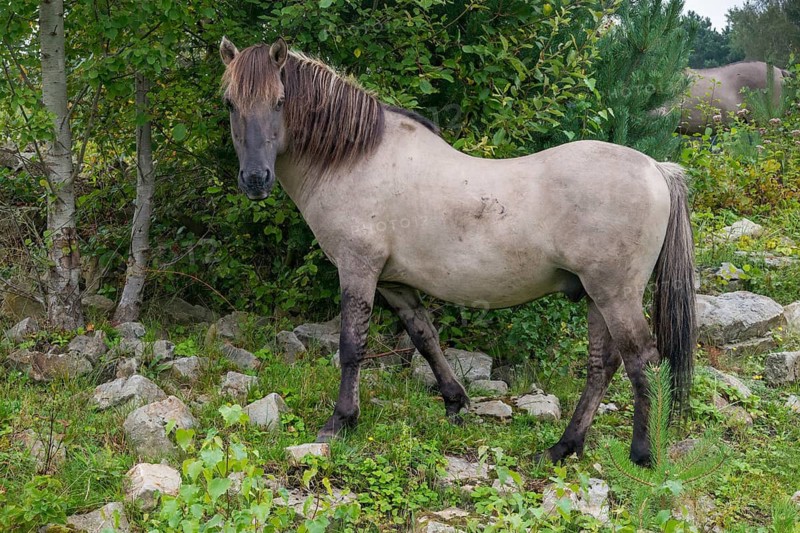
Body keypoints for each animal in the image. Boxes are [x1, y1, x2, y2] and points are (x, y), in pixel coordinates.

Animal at [219, 37, 696, 466]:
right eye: (229, 103)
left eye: (280, 101)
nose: (256, 180)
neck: (355, 161)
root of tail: (656, 168)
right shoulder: (393, 283)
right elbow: (425, 338)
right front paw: (455, 402)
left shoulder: (358, 271)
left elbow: (352, 346)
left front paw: (341, 421)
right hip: (597, 296)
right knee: (603, 365)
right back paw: (562, 448)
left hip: (615, 294)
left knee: (642, 361)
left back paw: (642, 454)